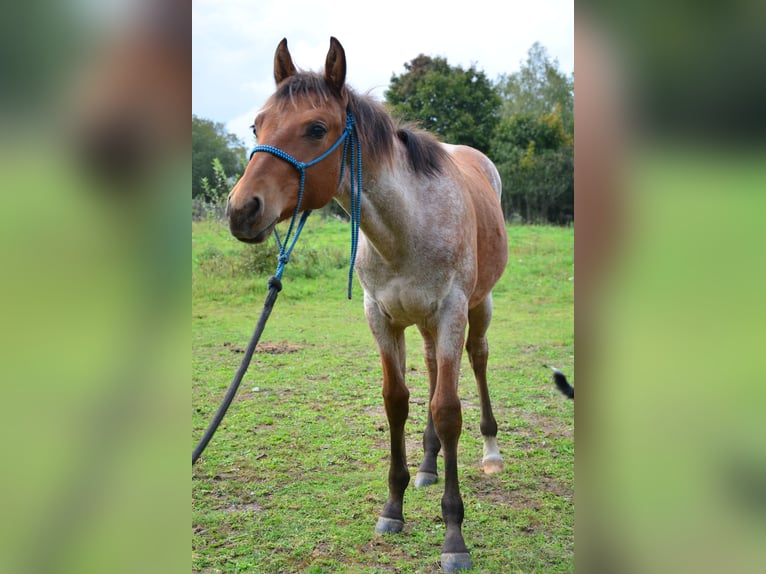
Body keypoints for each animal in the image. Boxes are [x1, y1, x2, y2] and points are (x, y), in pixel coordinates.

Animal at [227, 37, 508, 573]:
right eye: (257, 125)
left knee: (478, 360)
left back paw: (490, 452)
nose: (241, 210)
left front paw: (454, 535)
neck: (405, 229)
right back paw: (428, 464)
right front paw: (394, 506)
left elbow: (448, 409)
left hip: (477, 308)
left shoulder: (451, 312)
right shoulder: (381, 317)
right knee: (432, 368)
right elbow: (397, 400)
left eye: (317, 128)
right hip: (424, 325)